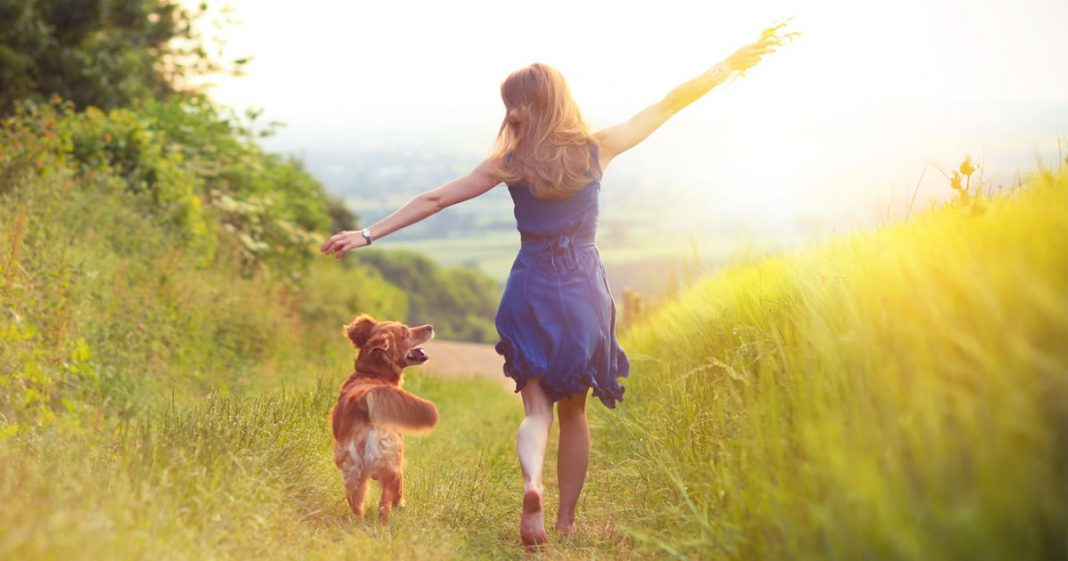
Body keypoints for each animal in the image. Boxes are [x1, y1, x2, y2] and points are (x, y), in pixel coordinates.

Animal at [328, 314, 437, 521]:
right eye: (406, 331)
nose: (430, 326)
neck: (373, 374)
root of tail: (363, 399)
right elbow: (400, 489)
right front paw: (401, 505)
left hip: (353, 470)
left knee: (357, 504)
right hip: (392, 459)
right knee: (385, 504)